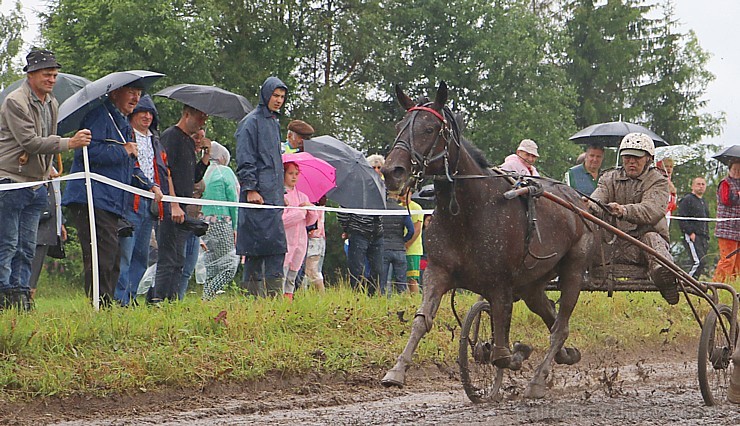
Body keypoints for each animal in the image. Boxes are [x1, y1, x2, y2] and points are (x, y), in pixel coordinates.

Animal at [378, 82, 600, 400]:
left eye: (430, 128)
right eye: (399, 126)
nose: (392, 171)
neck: (469, 211)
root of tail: (578, 201)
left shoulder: (501, 285)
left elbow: (501, 353)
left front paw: (516, 353)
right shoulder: (437, 271)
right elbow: (422, 320)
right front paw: (396, 371)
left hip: (573, 267)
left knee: (560, 325)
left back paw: (537, 380)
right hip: (533, 283)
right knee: (552, 315)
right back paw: (565, 354)